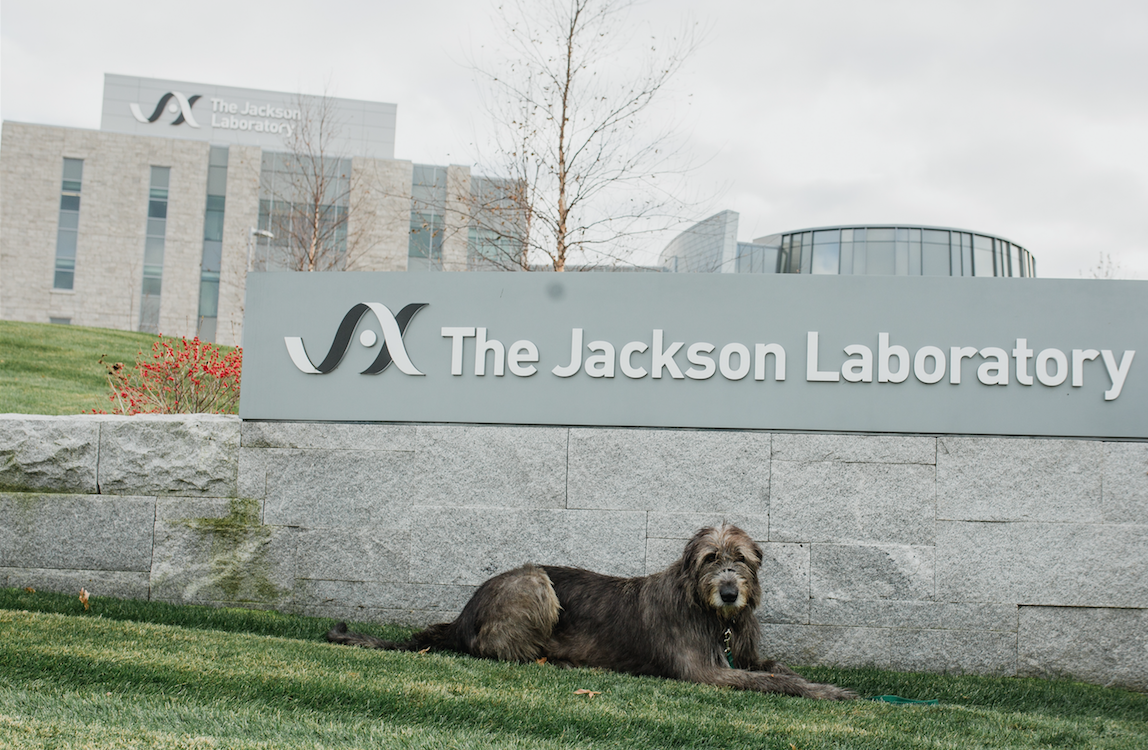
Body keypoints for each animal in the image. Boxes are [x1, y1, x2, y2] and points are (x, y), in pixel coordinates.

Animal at [328, 523, 858, 698]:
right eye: (710, 558)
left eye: (741, 560)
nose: (730, 593)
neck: (710, 616)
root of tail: (462, 615)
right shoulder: (705, 672)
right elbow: (769, 681)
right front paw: (829, 692)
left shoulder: (740, 652)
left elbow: (773, 668)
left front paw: (820, 681)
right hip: (534, 582)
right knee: (504, 648)